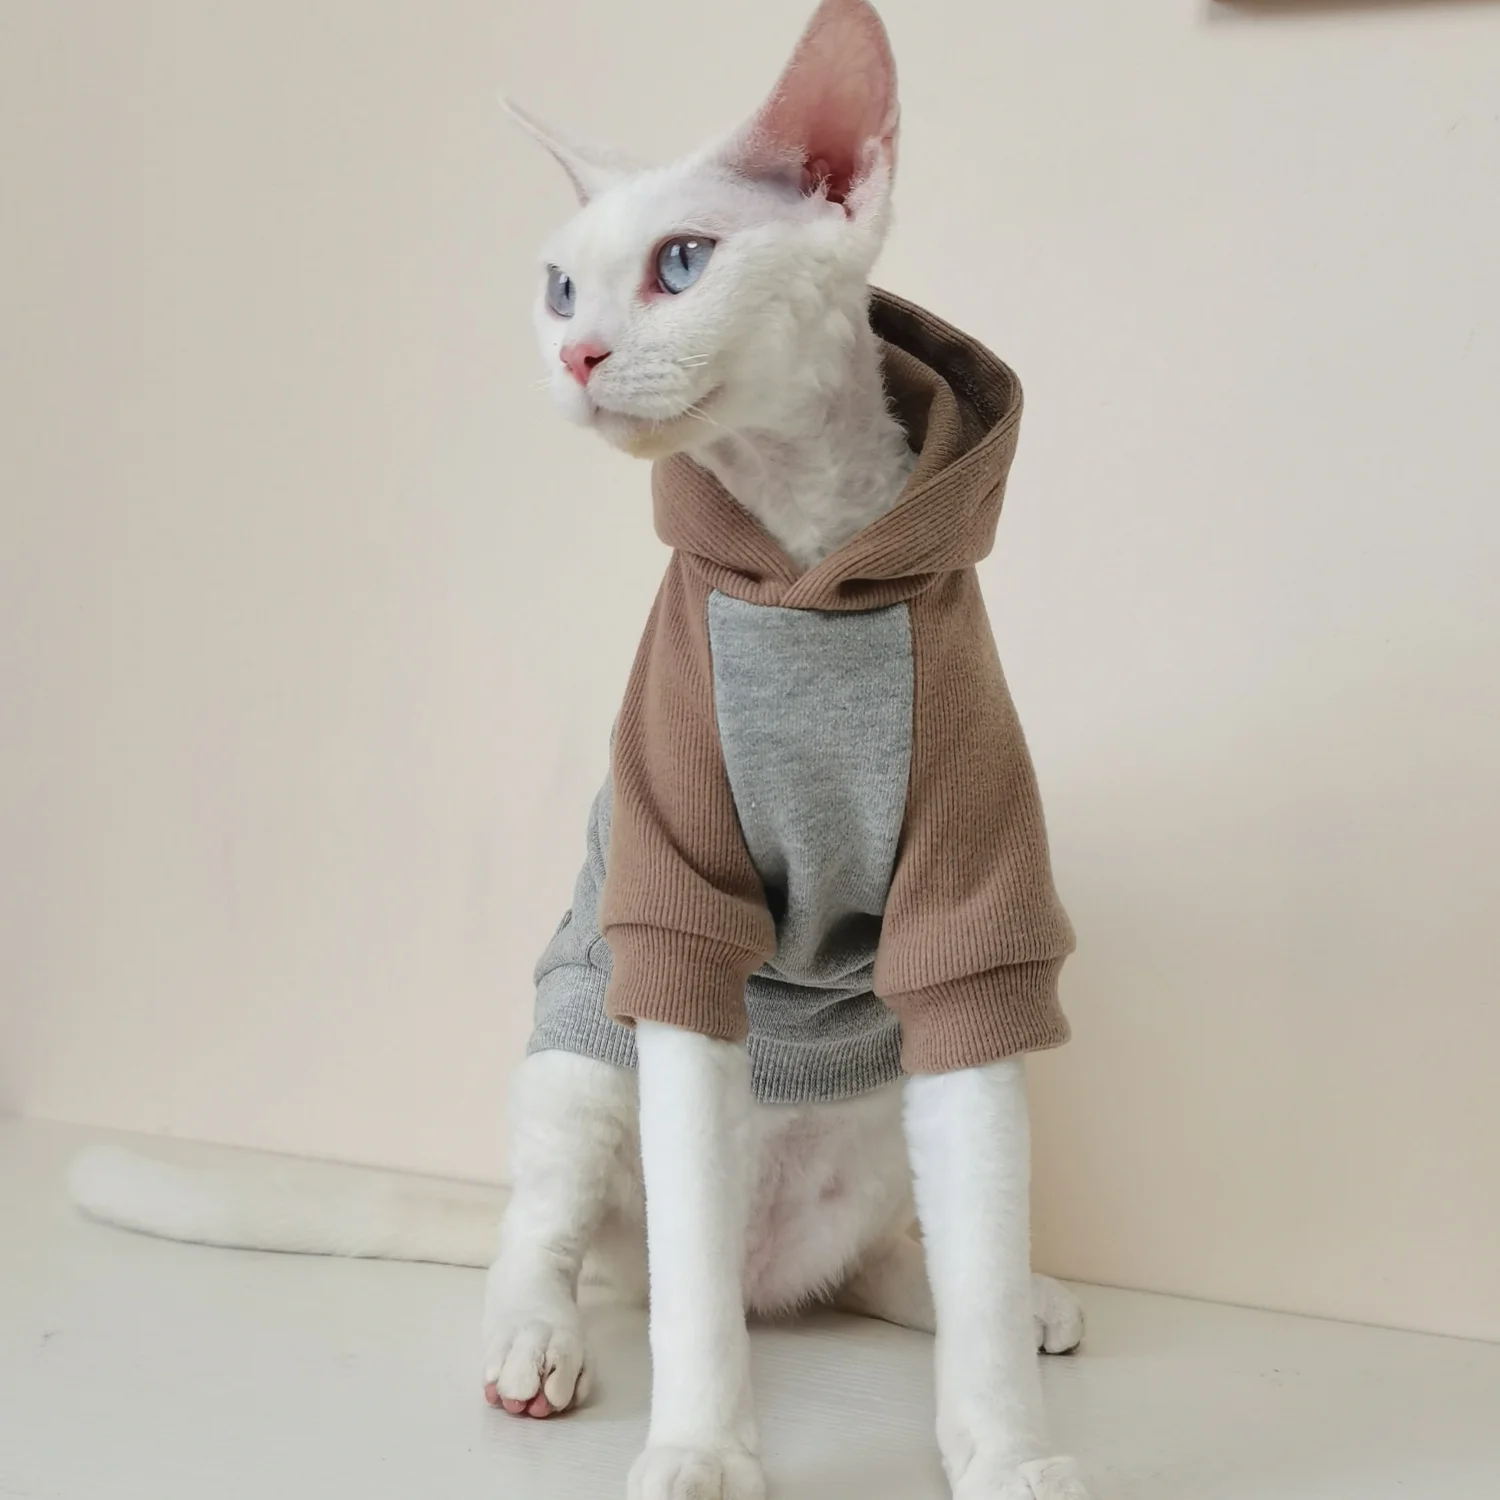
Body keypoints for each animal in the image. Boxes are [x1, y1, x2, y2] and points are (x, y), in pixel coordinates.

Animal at [68, 4, 1093, 1497]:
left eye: (683, 264)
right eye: (559, 289)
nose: (575, 355)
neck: (806, 567)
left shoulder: (969, 914)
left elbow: (978, 1212)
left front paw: (1012, 1449)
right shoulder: (669, 905)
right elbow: (688, 1275)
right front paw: (702, 1451)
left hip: (877, 1087)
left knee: (876, 1263)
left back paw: (1018, 1296)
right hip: (579, 1050)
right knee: (568, 1247)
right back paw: (537, 1349)